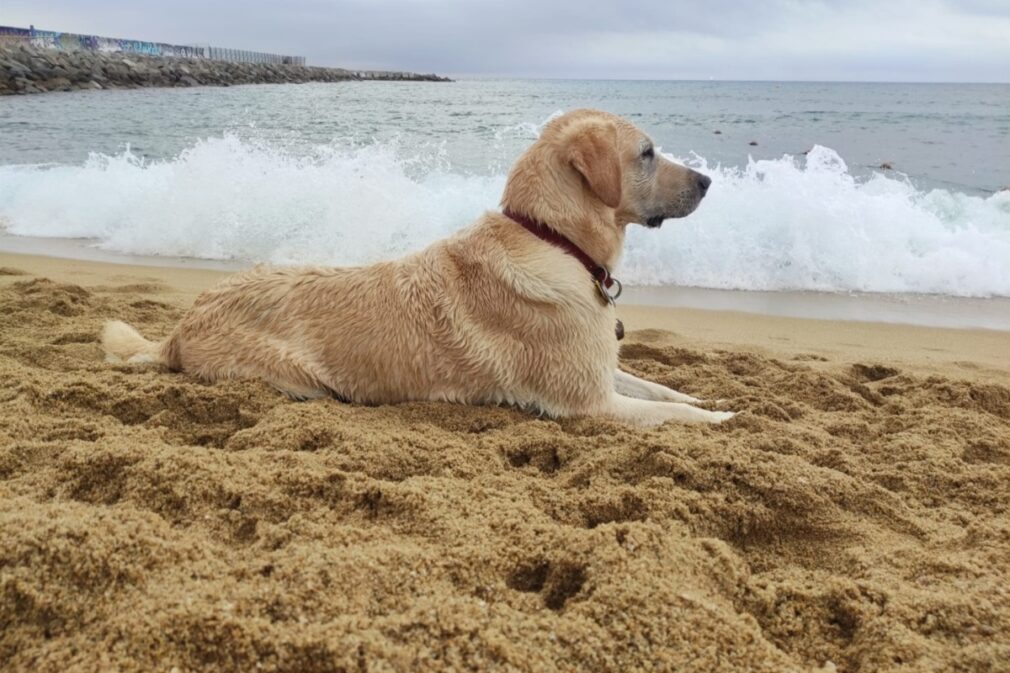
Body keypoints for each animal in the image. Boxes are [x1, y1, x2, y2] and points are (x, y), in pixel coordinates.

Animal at [102, 108, 735, 424]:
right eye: (647, 153)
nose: (709, 181)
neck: (553, 239)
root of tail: (179, 327)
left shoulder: (601, 369)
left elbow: (663, 389)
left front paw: (706, 399)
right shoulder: (590, 402)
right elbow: (679, 421)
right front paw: (726, 422)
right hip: (296, 379)